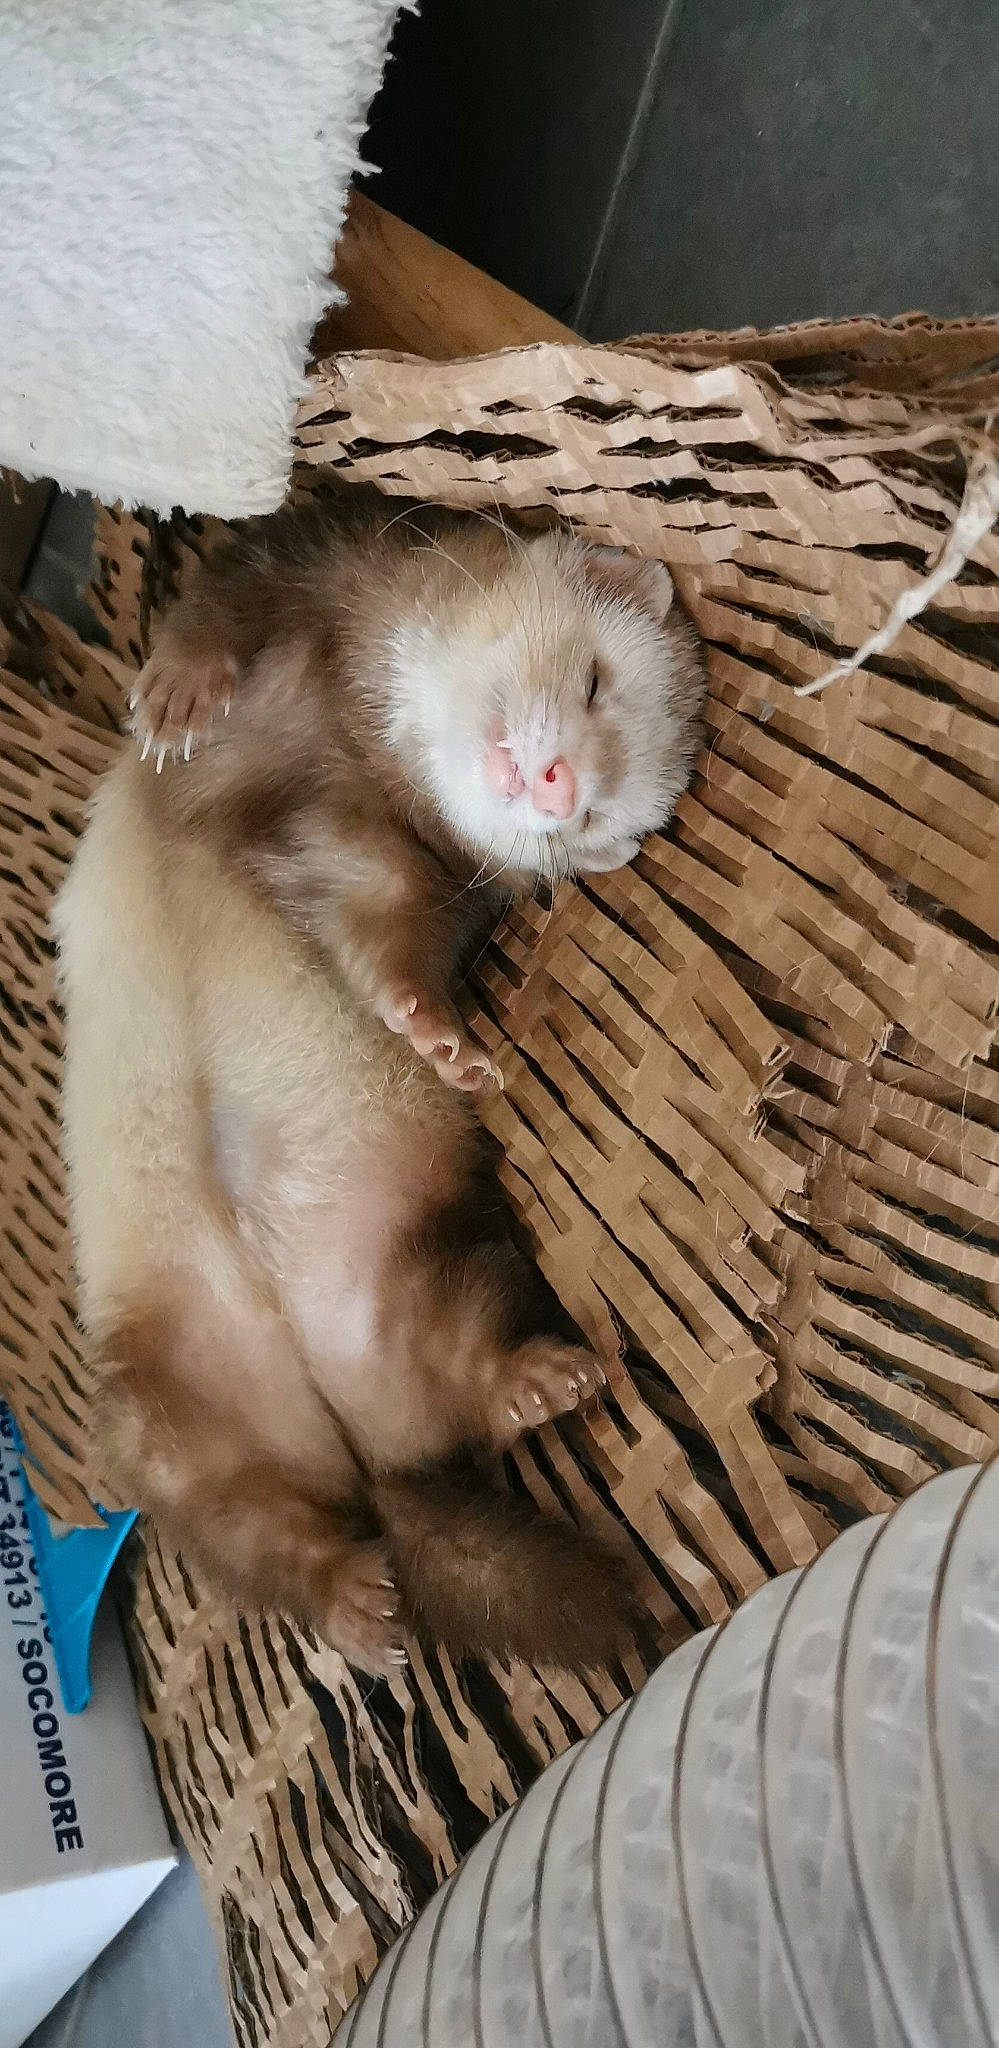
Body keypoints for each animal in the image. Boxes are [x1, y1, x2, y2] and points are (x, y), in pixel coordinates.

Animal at [56, 493, 704, 1674]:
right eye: (596, 681)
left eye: (612, 820)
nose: (563, 788)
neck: (355, 731)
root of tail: (347, 1432)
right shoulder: (307, 569)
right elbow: (221, 601)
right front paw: (175, 694)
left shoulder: (382, 867)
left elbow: (384, 950)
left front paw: (439, 1039)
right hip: (166, 1404)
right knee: (258, 1522)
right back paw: (364, 1588)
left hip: (427, 1261)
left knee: (363, 1468)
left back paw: (510, 1413)